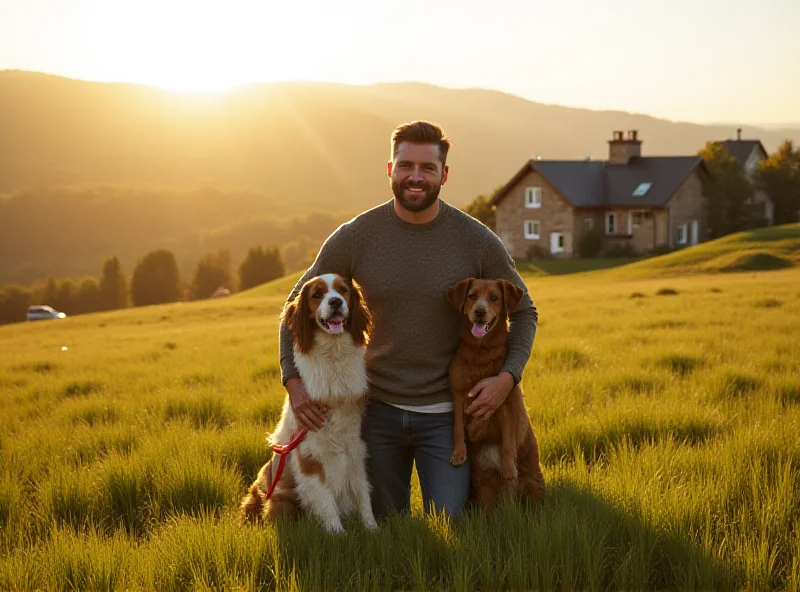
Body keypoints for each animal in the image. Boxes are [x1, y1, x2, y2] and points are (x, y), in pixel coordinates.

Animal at [238, 276, 378, 536]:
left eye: (343, 290)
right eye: (317, 294)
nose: (335, 302)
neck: (333, 354)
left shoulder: (354, 448)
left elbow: (362, 494)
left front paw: (373, 529)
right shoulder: (310, 456)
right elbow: (326, 501)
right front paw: (338, 534)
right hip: (280, 498)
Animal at [446, 278, 540, 508]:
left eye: (494, 298)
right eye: (472, 296)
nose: (480, 311)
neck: (481, 352)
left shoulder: (502, 401)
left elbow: (507, 441)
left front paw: (508, 467)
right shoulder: (458, 395)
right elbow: (458, 429)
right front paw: (459, 453)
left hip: (530, 483)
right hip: (482, 482)